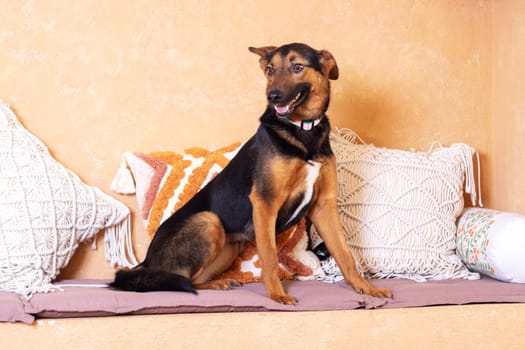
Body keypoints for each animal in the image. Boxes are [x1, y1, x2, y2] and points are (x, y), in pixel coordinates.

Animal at [112, 41, 390, 304]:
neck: (303, 131)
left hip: (228, 248)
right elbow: (269, 256)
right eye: (270, 70)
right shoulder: (265, 203)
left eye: (297, 67)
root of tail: (145, 262)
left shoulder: (324, 207)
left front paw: (366, 289)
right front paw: (277, 294)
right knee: (178, 279)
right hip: (209, 221)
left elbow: (345, 254)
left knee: (191, 279)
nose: (272, 96)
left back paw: (219, 283)